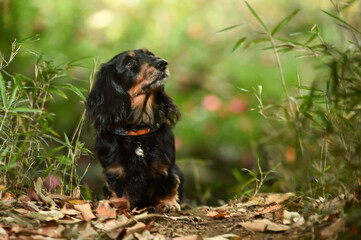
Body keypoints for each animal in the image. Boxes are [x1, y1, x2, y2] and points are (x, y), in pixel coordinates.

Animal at [86, 48, 184, 212]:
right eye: (130, 63)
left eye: (150, 54)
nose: (163, 63)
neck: (138, 131)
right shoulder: (115, 169)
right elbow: (117, 186)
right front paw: (119, 203)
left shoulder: (165, 166)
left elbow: (167, 184)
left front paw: (167, 203)